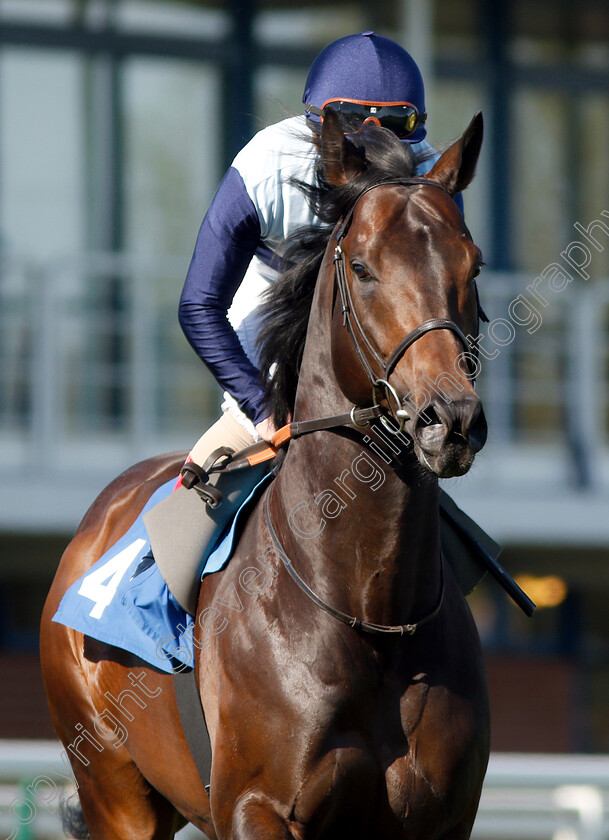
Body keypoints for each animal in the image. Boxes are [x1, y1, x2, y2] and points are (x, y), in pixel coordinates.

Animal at [40, 106, 490, 840]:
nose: (447, 419)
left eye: (472, 264)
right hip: (116, 793)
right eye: (362, 266)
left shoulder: (442, 818)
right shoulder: (257, 807)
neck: (371, 609)